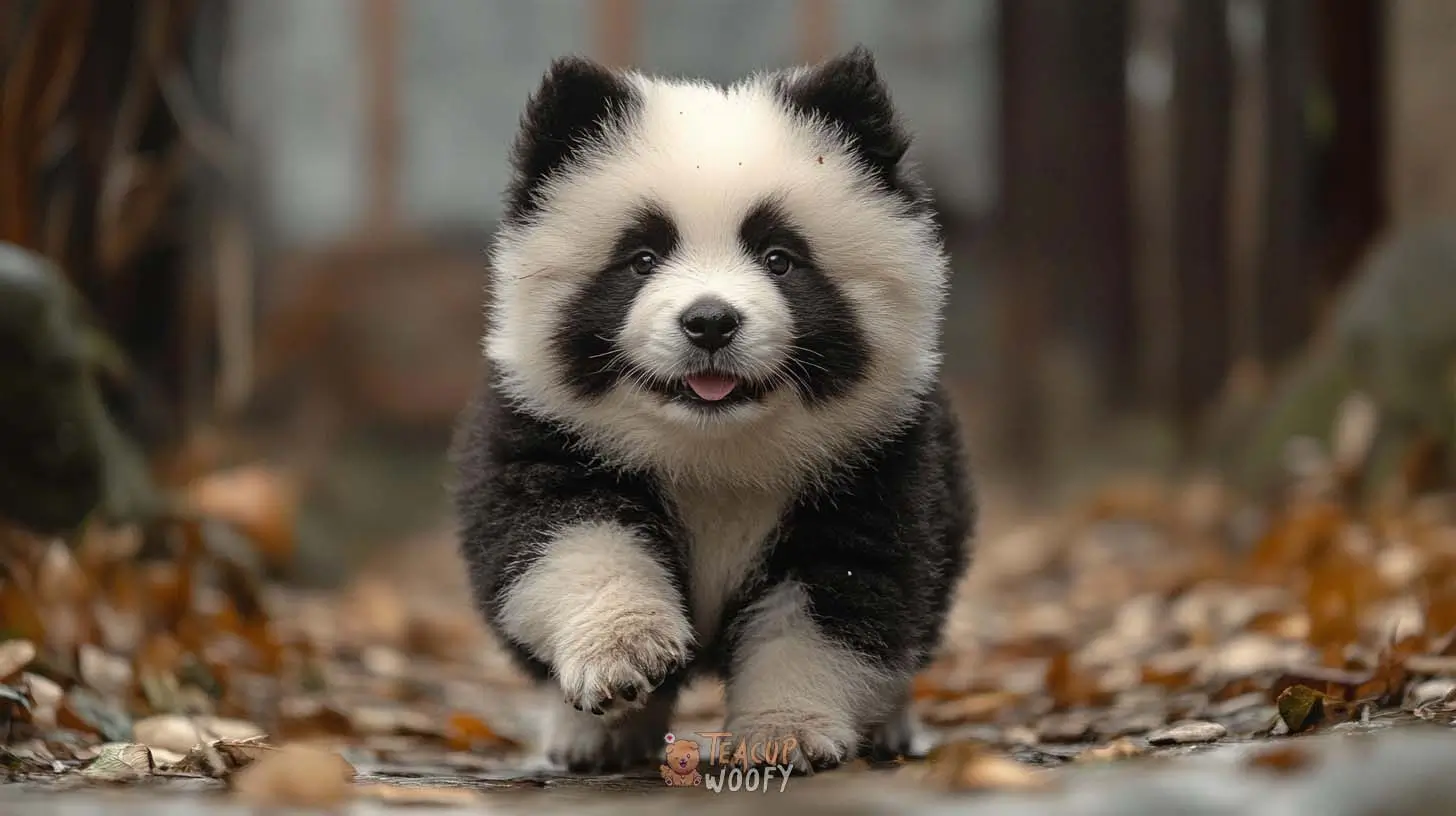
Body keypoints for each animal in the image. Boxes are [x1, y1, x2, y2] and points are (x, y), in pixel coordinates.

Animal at [452, 45, 975, 774]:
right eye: (641, 258)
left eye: (780, 258)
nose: (709, 323)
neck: (713, 446)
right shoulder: (549, 429)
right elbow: (566, 536)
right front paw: (628, 652)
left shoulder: (873, 456)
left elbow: (837, 601)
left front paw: (785, 733)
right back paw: (596, 734)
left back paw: (889, 726)